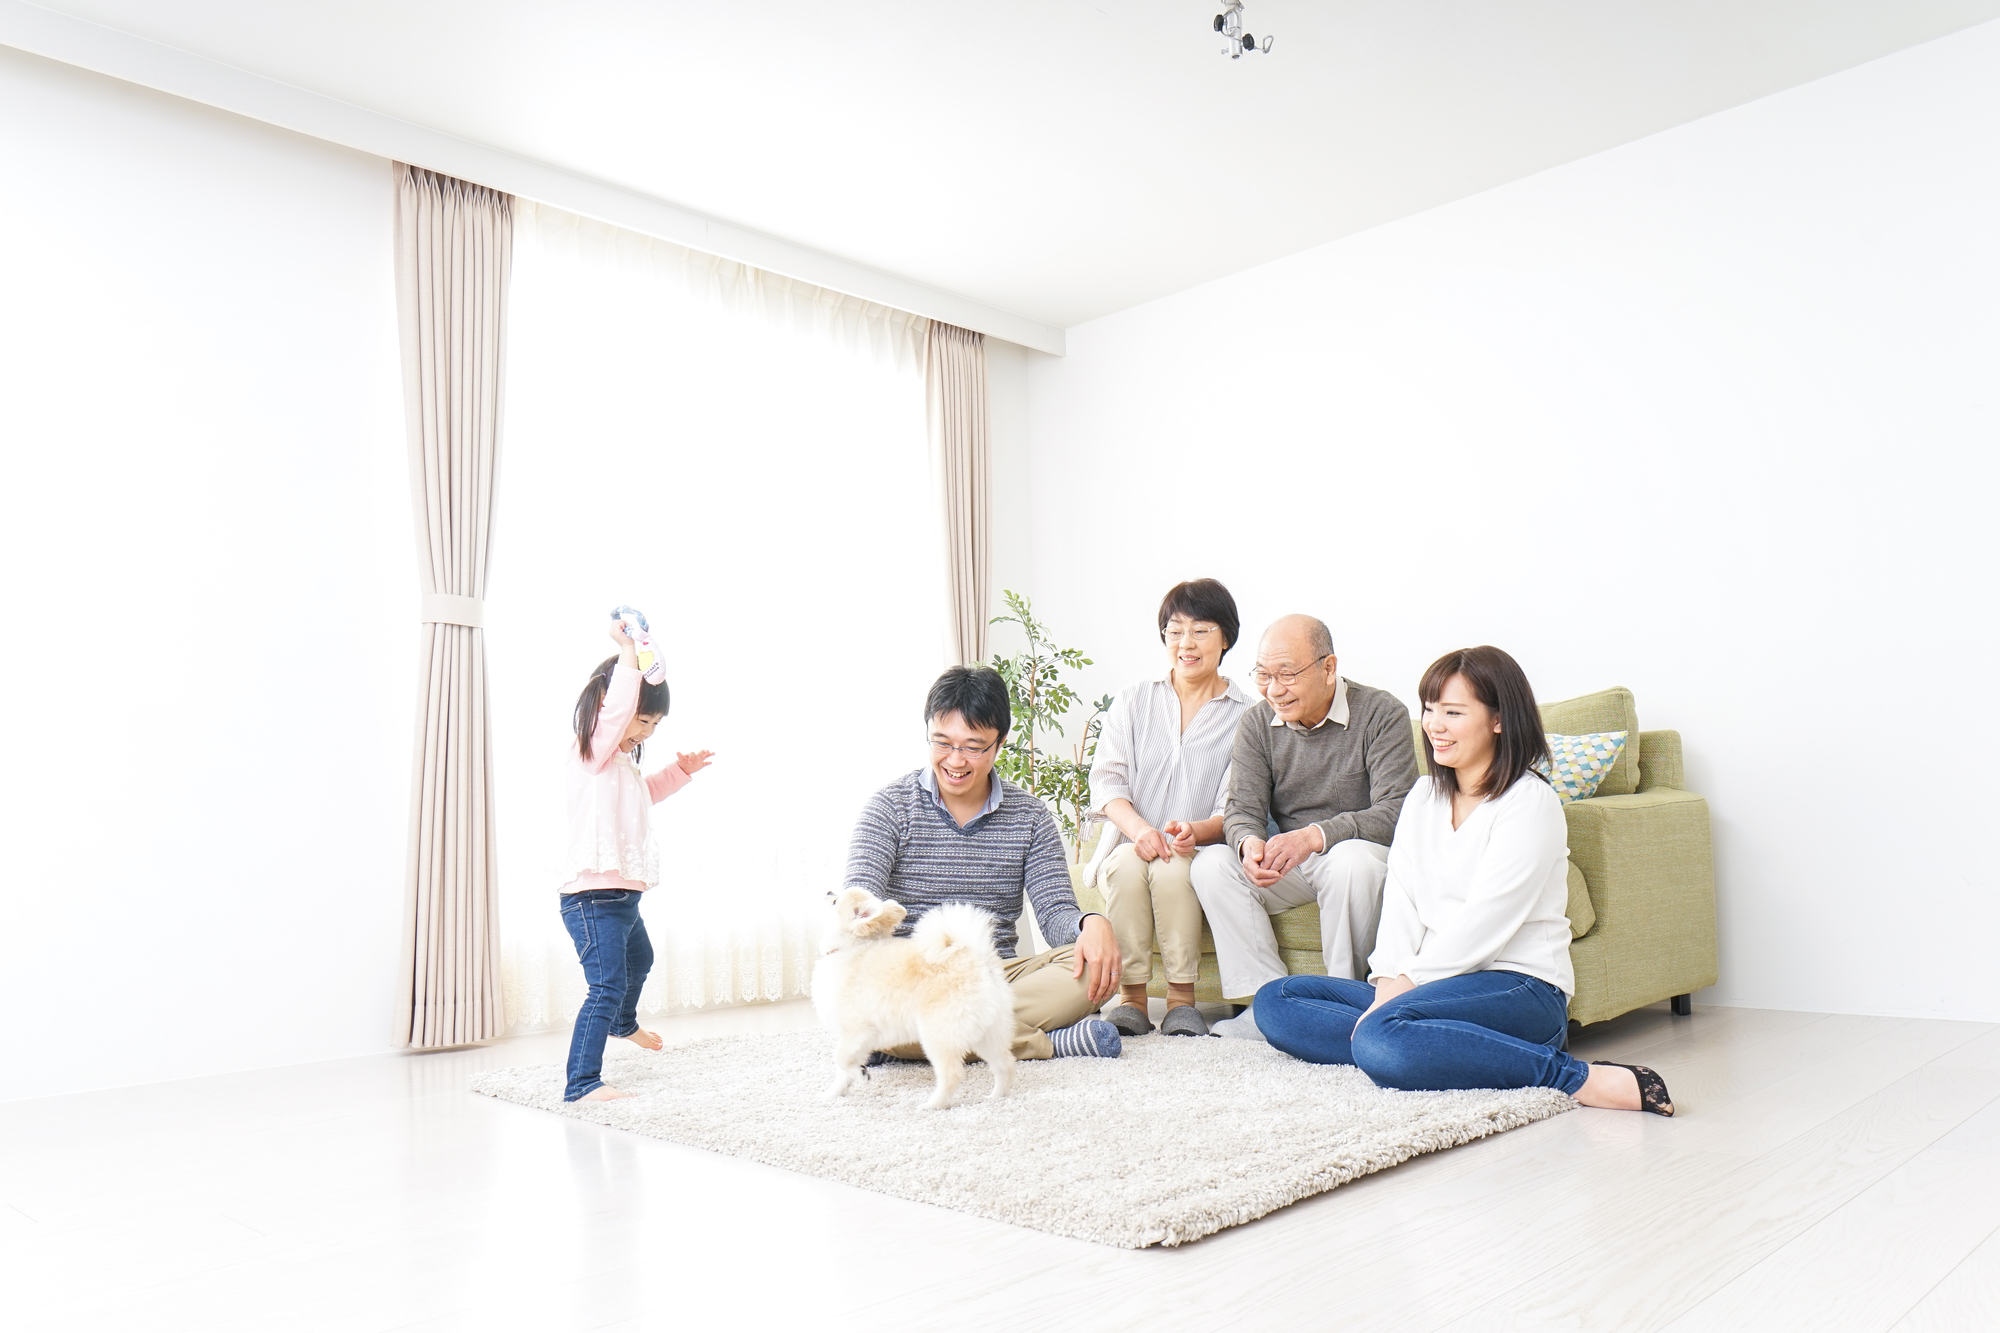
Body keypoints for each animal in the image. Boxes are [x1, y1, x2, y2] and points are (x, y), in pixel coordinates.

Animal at [812, 888, 1016, 1104]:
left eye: (835, 901)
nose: (829, 891)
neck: (849, 947)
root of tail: (978, 960)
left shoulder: (856, 1031)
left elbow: (840, 1058)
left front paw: (860, 1075)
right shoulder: (857, 1040)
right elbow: (842, 1072)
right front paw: (832, 1093)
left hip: (938, 1034)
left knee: (952, 1074)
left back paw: (932, 1104)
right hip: (989, 1033)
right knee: (1005, 1064)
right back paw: (995, 1097)